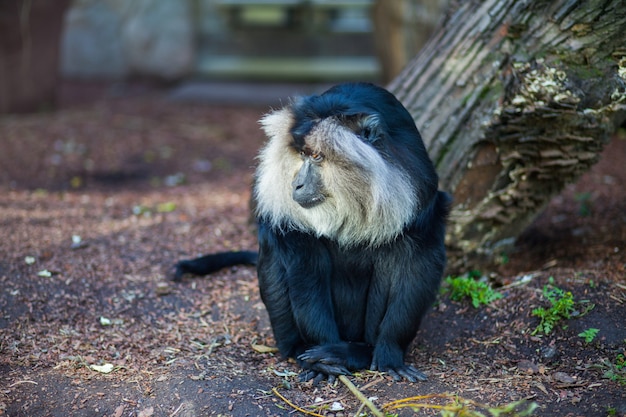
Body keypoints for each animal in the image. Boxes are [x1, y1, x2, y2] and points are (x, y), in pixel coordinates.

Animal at [174, 82, 448, 384]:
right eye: (302, 154)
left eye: (317, 156)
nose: (297, 184)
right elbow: (304, 268)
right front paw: (321, 359)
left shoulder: (420, 194)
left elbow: (416, 268)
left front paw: (389, 352)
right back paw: (306, 350)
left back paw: (359, 351)